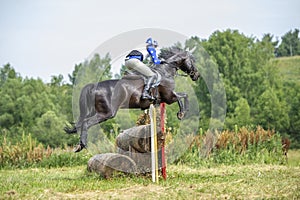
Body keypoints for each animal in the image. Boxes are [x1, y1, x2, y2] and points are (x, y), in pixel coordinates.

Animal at [64, 46, 200, 152]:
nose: (197, 75)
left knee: (83, 121)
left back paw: (79, 145)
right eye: (192, 61)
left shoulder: (162, 100)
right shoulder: (169, 97)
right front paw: (182, 113)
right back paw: (81, 145)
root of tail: (93, 85)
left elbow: (182, 96)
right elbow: (183, 96)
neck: (166, 71)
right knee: (86, 123)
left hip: (95, 110)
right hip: (107, 113)